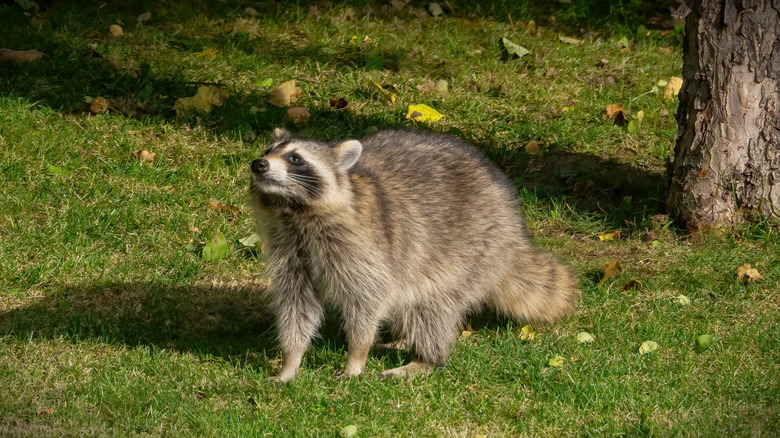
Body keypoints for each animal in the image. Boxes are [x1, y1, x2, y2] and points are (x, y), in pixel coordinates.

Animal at [249, 128, 579, 382]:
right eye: (268, 149)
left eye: (296, 158)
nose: (259, 164)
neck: (292, 211)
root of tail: (513, 232)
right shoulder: (289, 250)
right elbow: (296, 304)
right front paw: (291, 360)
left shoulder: (361, 247)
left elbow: (368, 298)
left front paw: (356, 354)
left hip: (470, 250)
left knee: (430, 306)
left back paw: (425, 359)